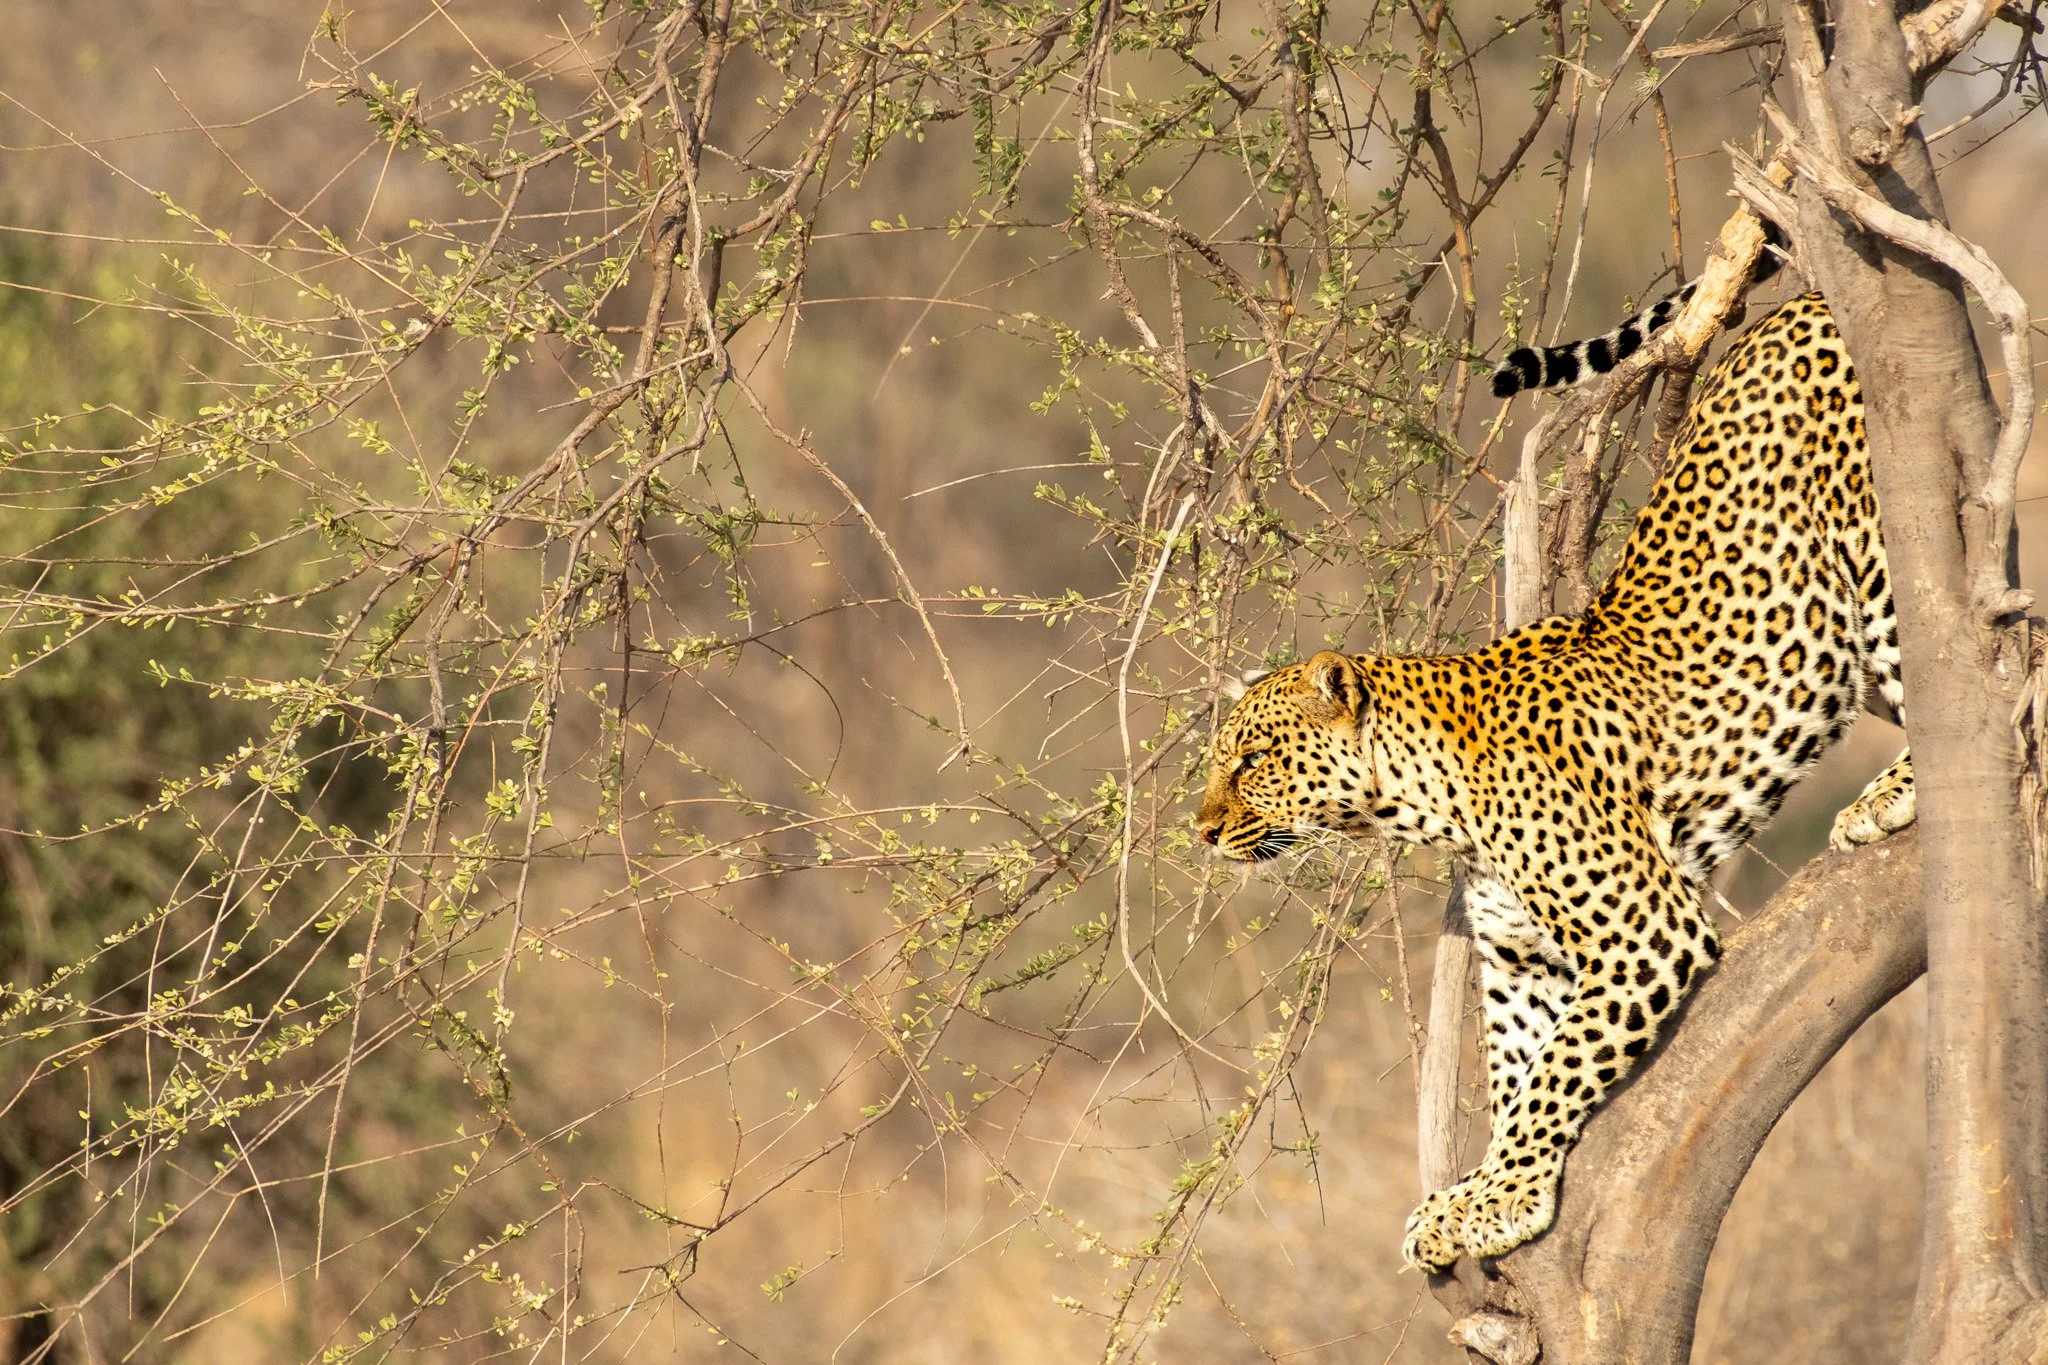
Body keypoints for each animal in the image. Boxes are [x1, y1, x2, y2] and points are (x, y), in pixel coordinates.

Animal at [1194, 282, 1916, 1271]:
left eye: (1252, 759)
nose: (1199, 828)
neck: (1429, 801)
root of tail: (1806, 297)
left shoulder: (1645, 929)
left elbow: (1555, 1077)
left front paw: (1495, 1197)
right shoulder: (1520, 957)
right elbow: (1518, 1071)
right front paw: (1482, 1190)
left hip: (1878, 566)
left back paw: (1893, 795)